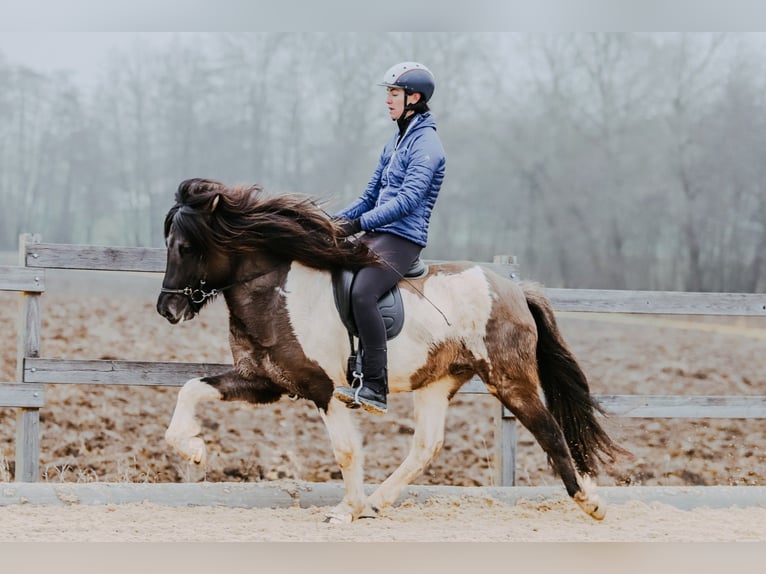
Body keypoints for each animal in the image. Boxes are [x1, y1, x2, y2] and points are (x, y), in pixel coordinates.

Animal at [156, 178, 626, 523]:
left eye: (184, 246)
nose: (167, 309)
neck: (277, 291)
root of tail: (513, 288)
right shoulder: (265, 381)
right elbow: (192, 389)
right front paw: (194, 450)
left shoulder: (324, 389)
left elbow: (345, 450)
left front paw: (345, 510)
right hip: (438, 381)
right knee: (427, 445)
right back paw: (378, 502)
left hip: (509, 380)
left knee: (549, 429)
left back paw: (590, 502)